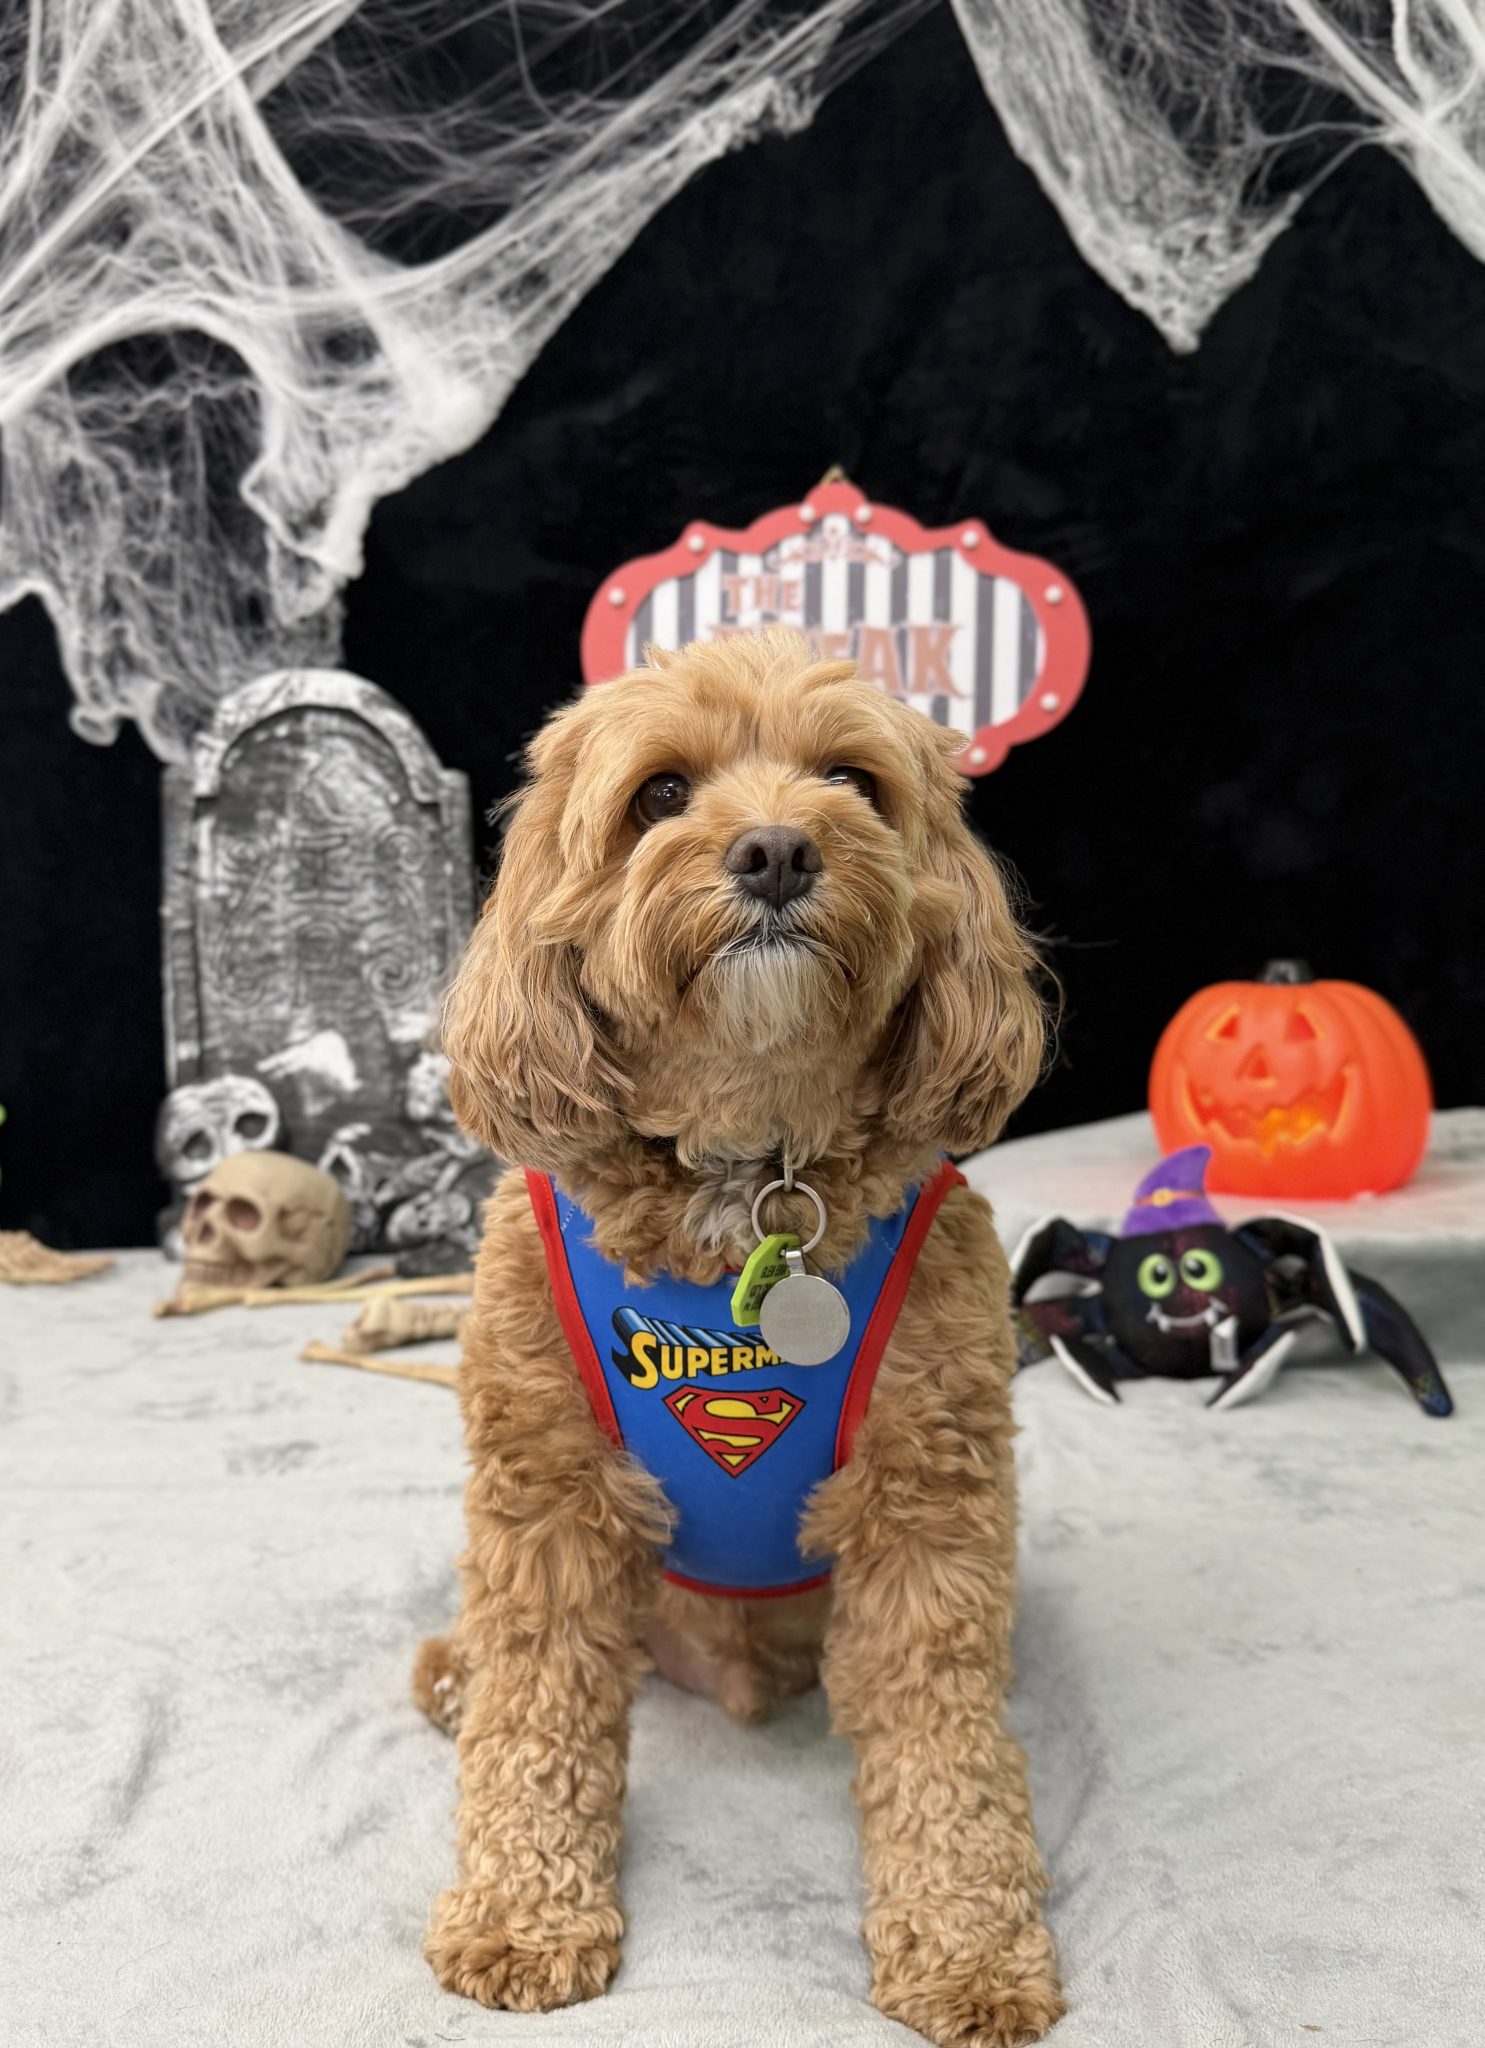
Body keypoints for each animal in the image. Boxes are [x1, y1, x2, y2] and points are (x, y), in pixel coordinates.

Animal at [414, 627, 1063, 2046]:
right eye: (660, 792)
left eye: (854, 780)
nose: (774, 850)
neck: (751, 1172)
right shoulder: (548, 1503)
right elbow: (535, 1711)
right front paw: (520, 1914)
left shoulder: (929, 1512)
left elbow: (947, 1750)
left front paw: (971, 1947)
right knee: (496, 1664)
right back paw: (453, 1669)